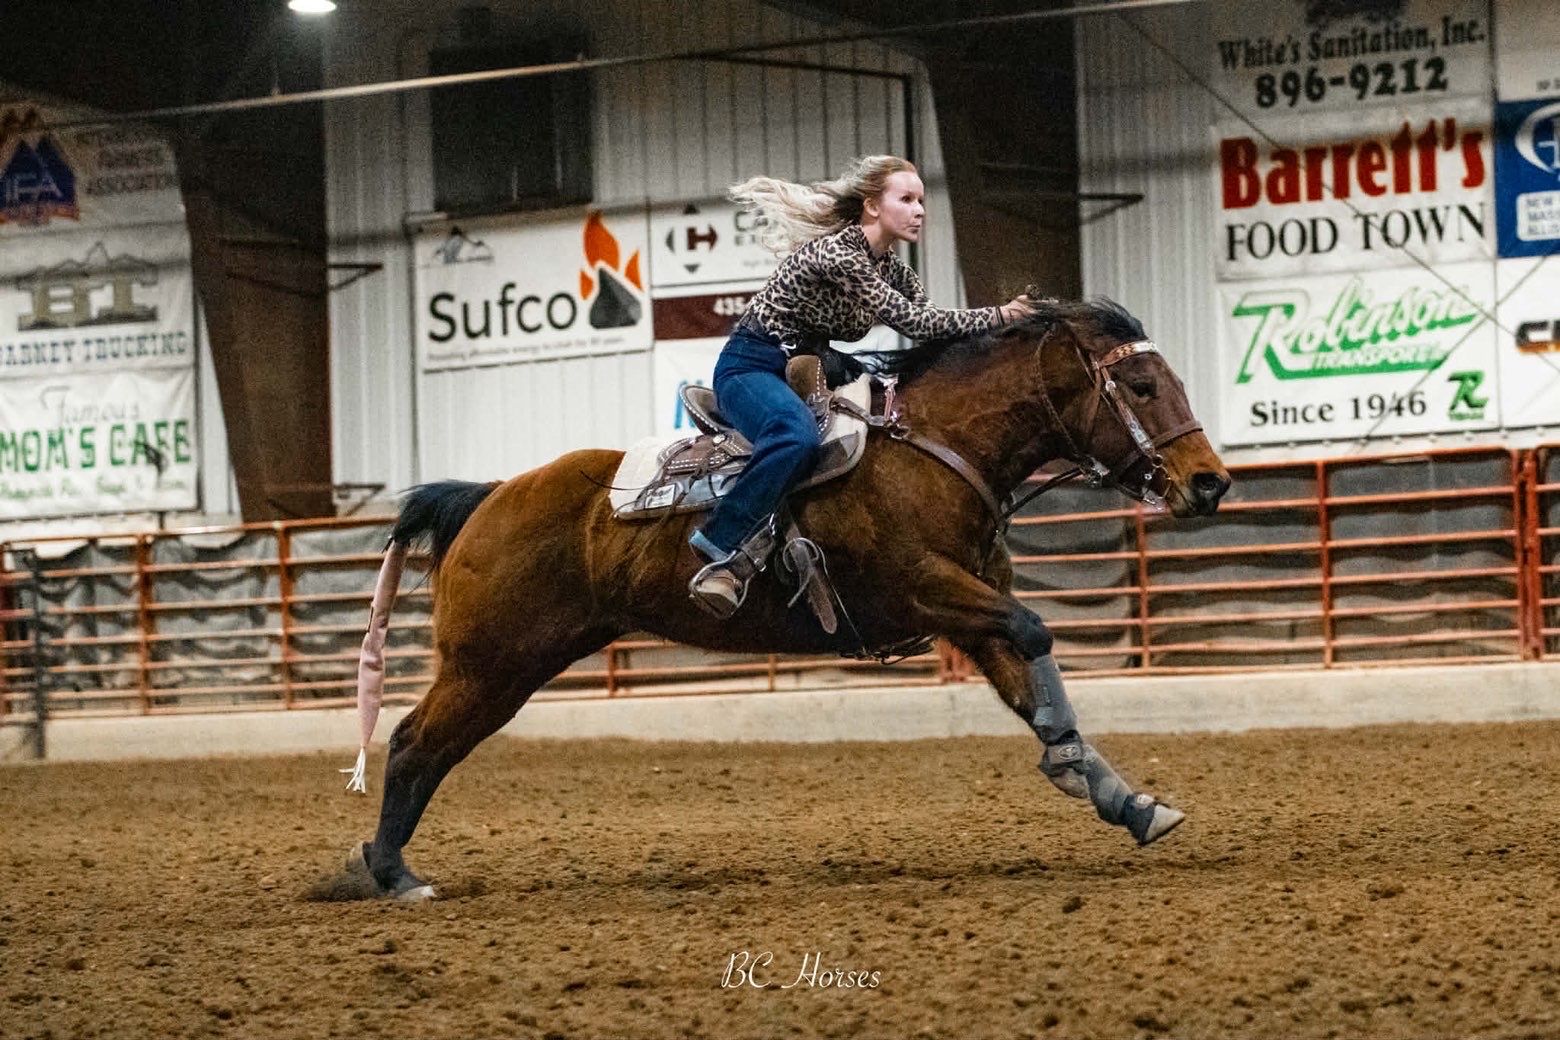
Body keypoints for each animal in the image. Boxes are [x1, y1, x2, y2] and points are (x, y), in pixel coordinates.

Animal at [342, 298, 1231, 900]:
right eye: (1142, 384)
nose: (1210, 483)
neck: (933, 448)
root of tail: (486, 497)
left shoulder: (971, 611)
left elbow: (1029, 674)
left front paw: (1121, 795)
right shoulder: (929, 591)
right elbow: (1037, 633)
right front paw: (1080, 768)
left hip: (511, 667)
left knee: (430, 750)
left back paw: (374, 868)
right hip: (489, 665)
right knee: (414, 745)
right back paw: (393, 875)